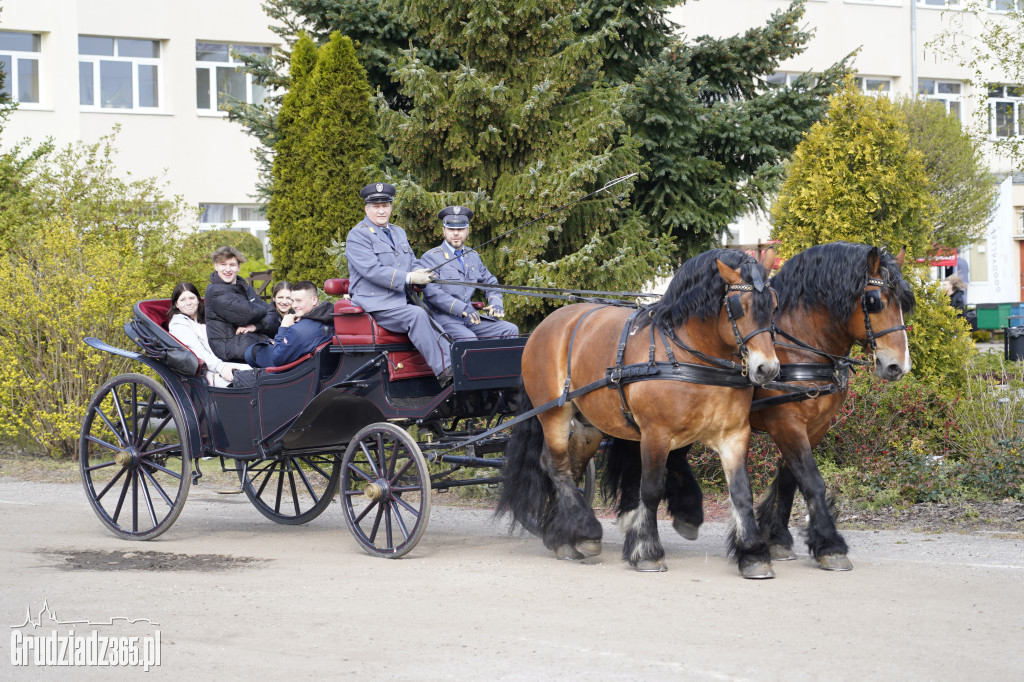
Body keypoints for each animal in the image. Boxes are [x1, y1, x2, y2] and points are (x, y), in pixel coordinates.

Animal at [499, 246, 778, 577]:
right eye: (739, 308)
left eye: (773, 305)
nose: (768, 369)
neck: (688, 355)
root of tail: (548, 323)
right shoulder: (656, 435)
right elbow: (652, 490)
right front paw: (647, 551)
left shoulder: (733, 435)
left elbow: (741, 491)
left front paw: (754, 553)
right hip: (555, 413)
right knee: (555, 466)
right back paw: (586, 531)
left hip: (588, 424)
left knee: (573, 467)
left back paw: (566, 536)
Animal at [598, 241, 913, 569]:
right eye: (875, 301)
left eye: (905, 303)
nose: (898, 366)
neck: (799, 345)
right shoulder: (786, 423)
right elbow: (811, 480)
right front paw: (830, 545)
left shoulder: (815, 427)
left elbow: (790, 480)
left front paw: (777, 539)